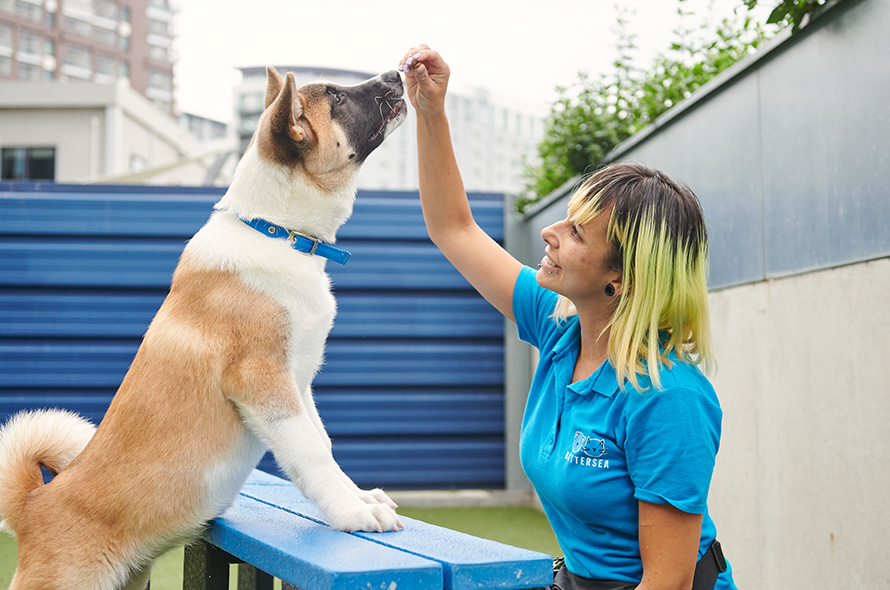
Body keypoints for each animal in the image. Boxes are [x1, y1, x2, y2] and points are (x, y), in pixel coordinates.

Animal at [0, 66, 406, 590]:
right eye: (335, 95)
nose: (397, 72)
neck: (275, 231)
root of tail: (34, 507)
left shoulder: (298, 384)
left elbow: (322, 445)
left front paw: (358, 497)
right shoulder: (263, 381)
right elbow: (312, 455)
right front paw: (353, 514)